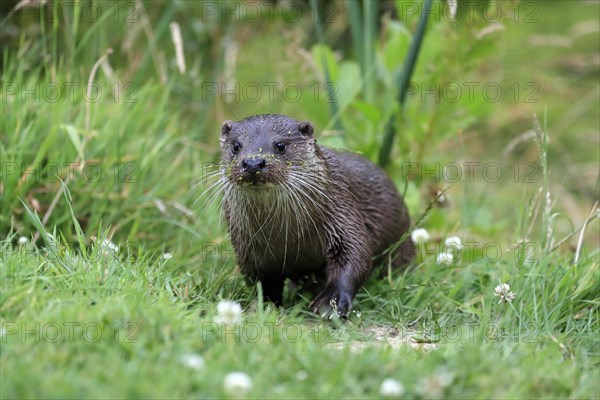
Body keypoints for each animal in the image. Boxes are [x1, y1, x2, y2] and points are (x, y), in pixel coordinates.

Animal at [219, 114, 412, 318]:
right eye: (236, 146)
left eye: (280, 145)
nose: (253, 162)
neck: (289, 237)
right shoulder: (248, 249)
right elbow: (262, 281)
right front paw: (266, 307)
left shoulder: (342, 213)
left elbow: (356, 256)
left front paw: (331, 303)